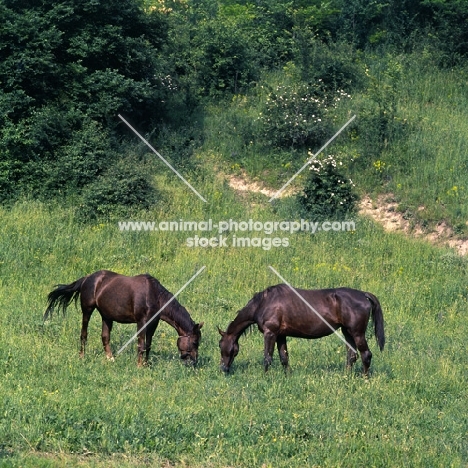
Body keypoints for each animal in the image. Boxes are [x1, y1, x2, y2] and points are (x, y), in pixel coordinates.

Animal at [44, 270, 203, 366]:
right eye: (195, 342)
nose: (194, 362)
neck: (154, 295)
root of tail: (87, 278)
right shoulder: (141, 322)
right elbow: (141, 344)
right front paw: (139, 365)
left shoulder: (153, 323)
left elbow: (148, 344)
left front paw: (146, 364)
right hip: (87, 310)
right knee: (84, 334)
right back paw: (82, 356)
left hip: (106, 316)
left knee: (105, 337)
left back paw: (110, 358)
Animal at [218, 284, 386, 374]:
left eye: (220, 345)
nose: (223, 369)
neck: (264, 302)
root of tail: (363, 295)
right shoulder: (281, 335)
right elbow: (284, 357)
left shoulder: (270, 333)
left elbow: (267, 358)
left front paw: (265, 377)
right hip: (347, 332)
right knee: (352, 355)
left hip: (357, 333)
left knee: (366, 355)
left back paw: (365, 378)